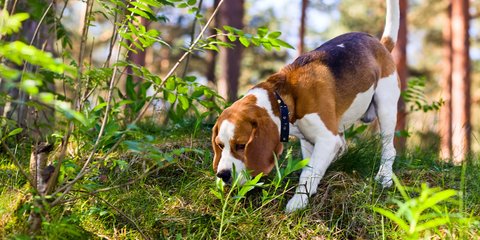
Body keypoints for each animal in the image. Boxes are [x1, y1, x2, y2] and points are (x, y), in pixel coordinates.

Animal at [212, 0, 400, 212]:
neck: (284, 100)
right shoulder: (308, 141)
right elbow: (311, 168)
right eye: (220, 145)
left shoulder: (326, 139)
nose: (222, 175)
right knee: (343, 146)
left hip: (386, 107)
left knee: (388, 148)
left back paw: (384, 176)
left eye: (242, 145)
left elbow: (308, 174)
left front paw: (298, 202)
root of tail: (380, 45)